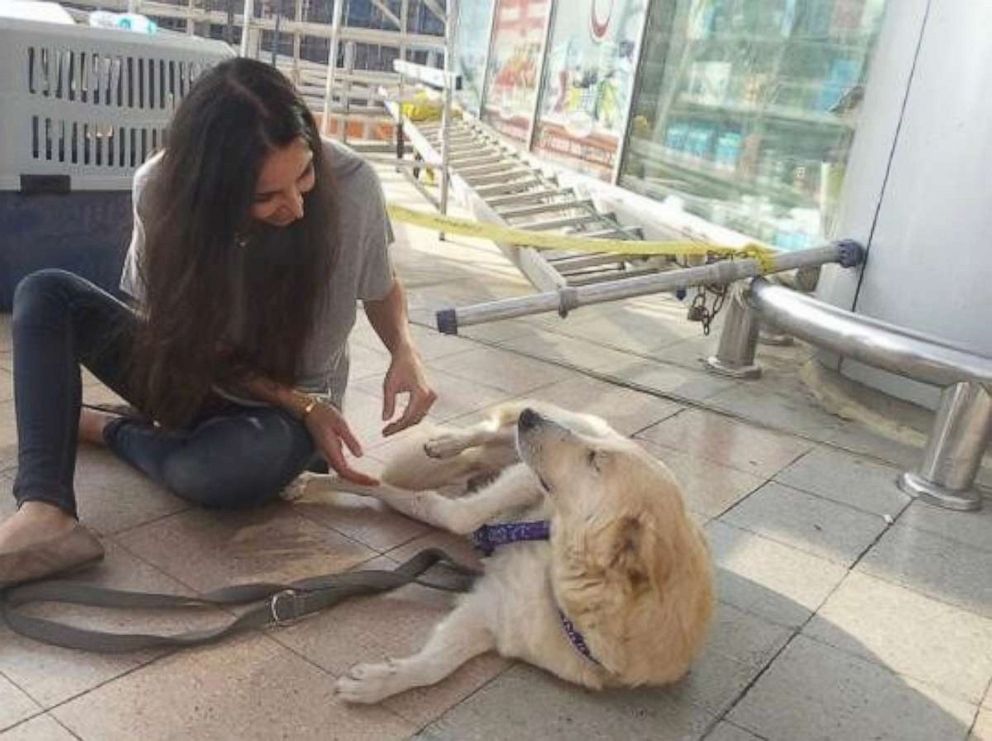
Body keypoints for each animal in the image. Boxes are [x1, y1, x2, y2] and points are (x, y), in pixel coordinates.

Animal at [290, 402, 708, 704]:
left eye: (595, 460)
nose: (531, 418)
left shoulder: (494, 613)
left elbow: (436, 664)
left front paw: (378, 681)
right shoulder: (526, 481)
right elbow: (452, 512)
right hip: (550, 430)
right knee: (489, 432)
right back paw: (443, 445)